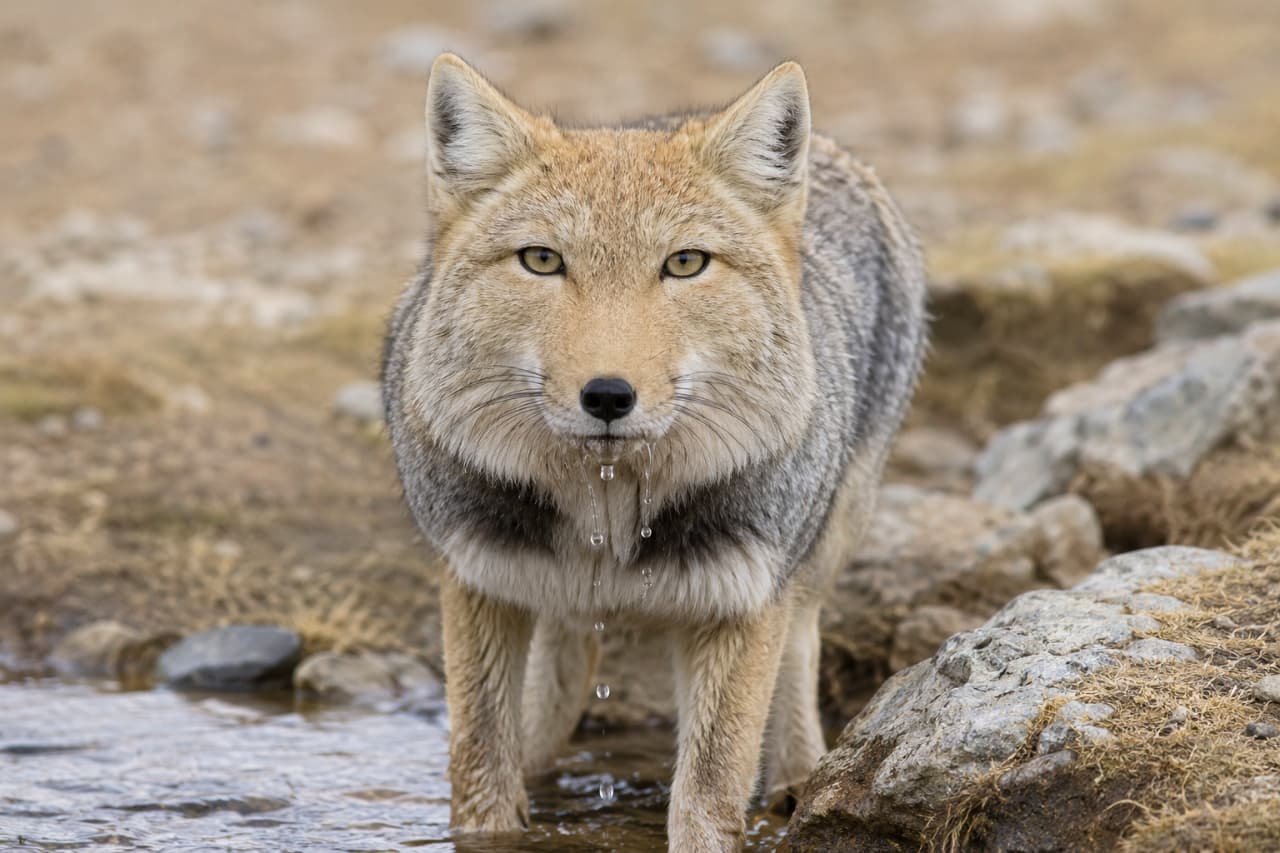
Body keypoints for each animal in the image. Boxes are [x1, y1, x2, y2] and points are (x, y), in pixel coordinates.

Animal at [381, 53, 927, 851]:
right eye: (542, 260)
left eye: (686, 264)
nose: (609, 395)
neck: (608, 514)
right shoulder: (478, 580)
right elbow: (479, 775)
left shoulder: (741, 605)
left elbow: (708, 796)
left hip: (816, 551)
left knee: (801, 646)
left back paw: (801, 781)